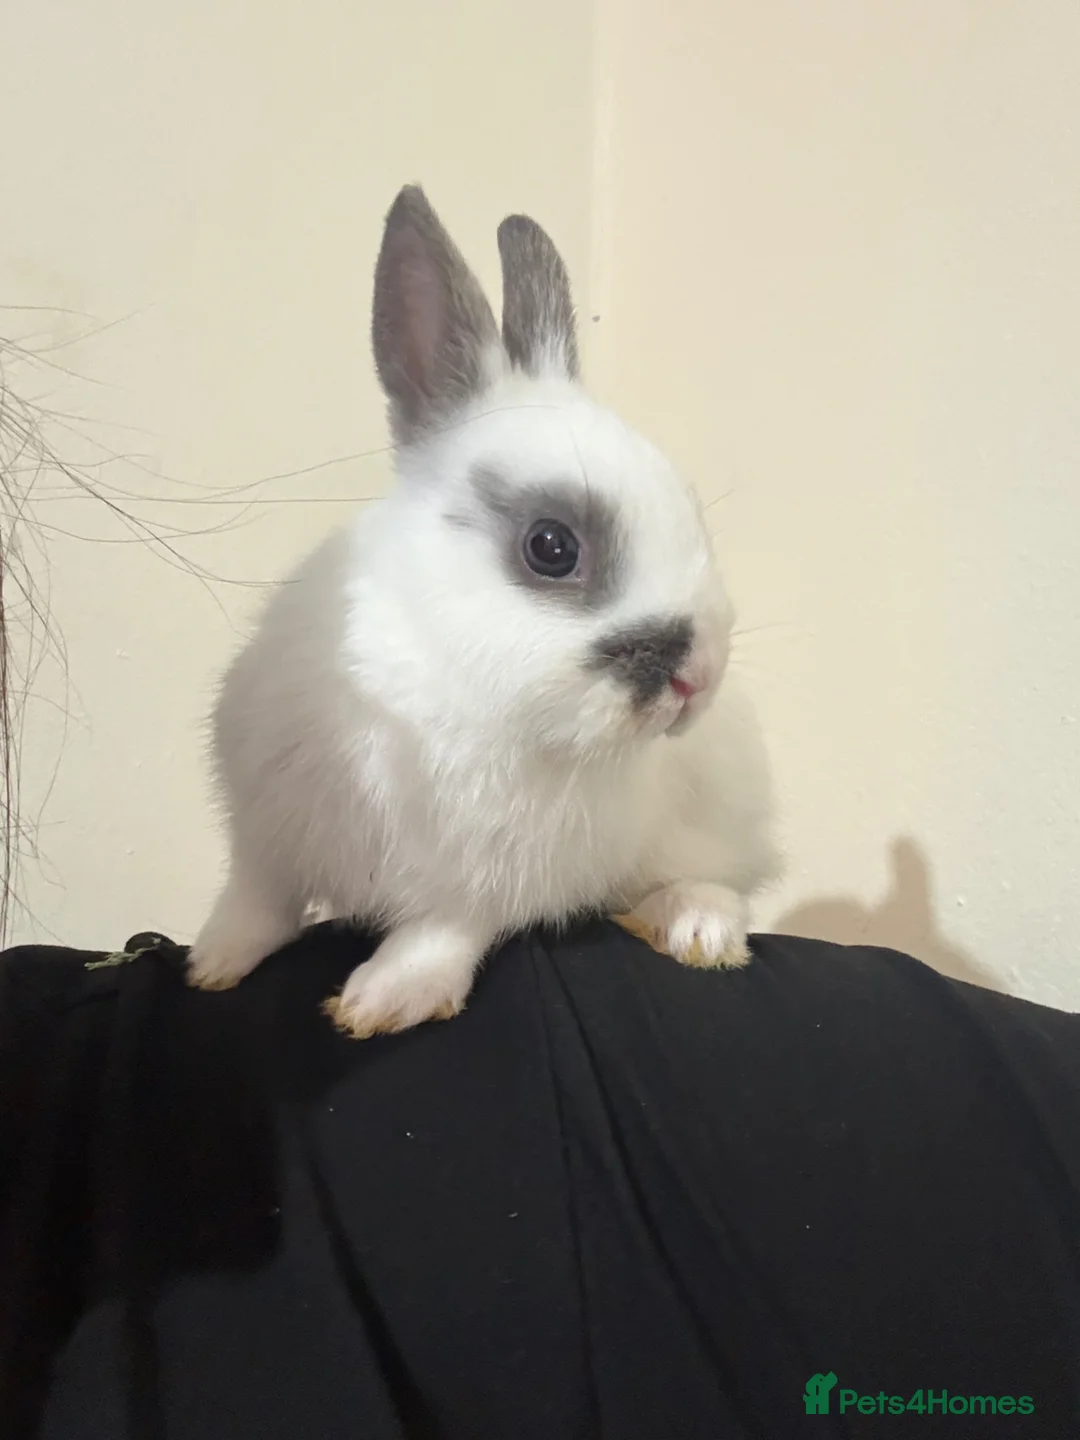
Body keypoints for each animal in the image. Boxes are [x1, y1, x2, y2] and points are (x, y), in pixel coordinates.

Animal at [188, 184, 781, 1038]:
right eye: (551, 547)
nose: (698, 678)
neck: (441, 676)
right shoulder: (267, 834)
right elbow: (256, 902)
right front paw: (212, 963)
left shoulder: (483, 882)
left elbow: (440, 932)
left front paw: (383, 1000)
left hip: (715, 818)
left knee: (722, 879)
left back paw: (697, 927)